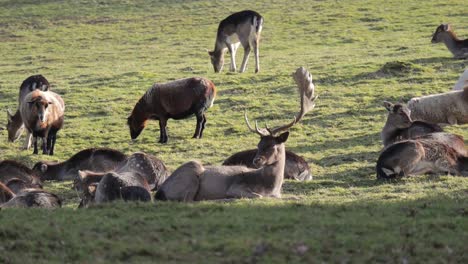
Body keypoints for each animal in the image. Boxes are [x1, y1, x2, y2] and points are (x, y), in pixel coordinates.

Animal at [156, 67, 318, 201]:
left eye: (272, 145)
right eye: (258, 144)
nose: (256, 161)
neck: (270, 187)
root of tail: (160, 191)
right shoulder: (236, 187)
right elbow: (258, 196)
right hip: (192, 169)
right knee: (187, 199)